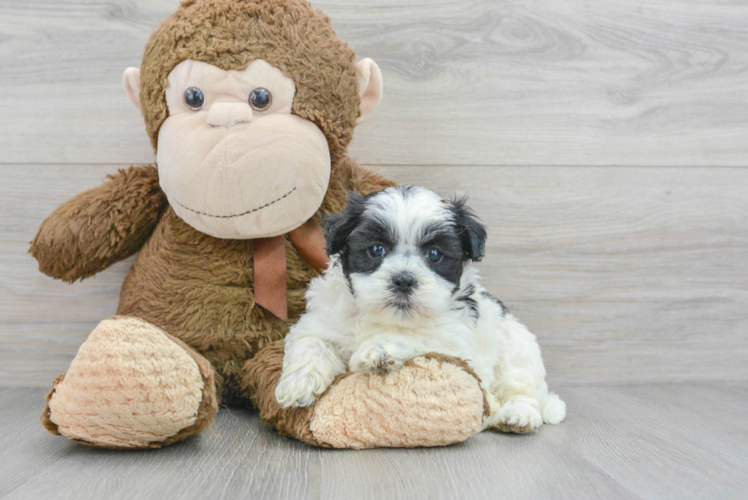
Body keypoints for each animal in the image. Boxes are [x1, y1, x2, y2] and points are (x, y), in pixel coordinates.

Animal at [276, 186, 568, 432]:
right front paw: (298, 383)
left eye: (434, 254)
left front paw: (378, 349)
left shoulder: (456, 342)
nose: (404, 279)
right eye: (376, 249)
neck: (386, 317)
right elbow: (312, 343)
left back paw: (517, 416)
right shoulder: (320, 321)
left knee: (524, 390)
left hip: (517, 350)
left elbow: (418, 335)